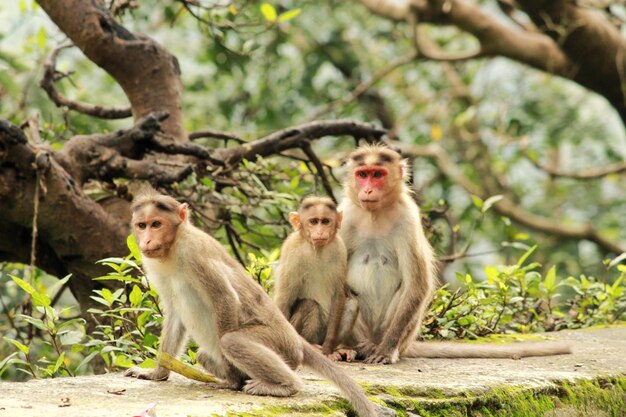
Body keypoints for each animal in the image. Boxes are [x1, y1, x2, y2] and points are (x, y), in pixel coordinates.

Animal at [272, 197, 356, 360]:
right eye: (313, 221)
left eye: (325, 221)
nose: (320, 231)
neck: (317, 249)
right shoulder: (292, 251)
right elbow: (284, 299)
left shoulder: (339, 248)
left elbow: (338, 294)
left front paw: (329, 350)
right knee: (309, 304)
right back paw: (311, 346)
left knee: (352, 304)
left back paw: (338, 350)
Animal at [336, 144, 572, 364]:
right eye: (362, 174)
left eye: (377, 174)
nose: (367, 190)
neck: (374, 215)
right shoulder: (344, 216)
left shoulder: (408, 219)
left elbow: (417, 286)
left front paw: (385, 351)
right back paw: (353, 348)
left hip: (402, 333)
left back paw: (381, 348)